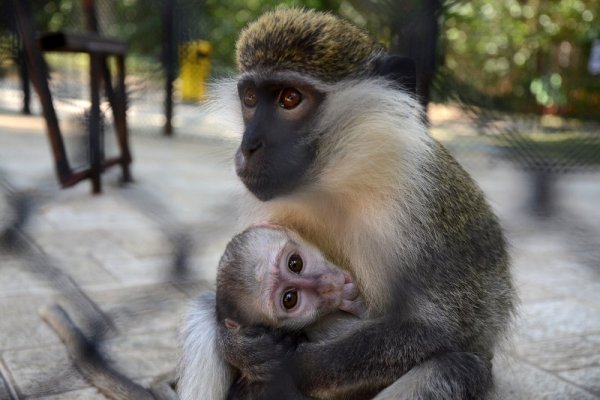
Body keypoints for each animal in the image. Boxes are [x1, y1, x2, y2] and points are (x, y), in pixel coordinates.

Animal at [178, 7, 516, 400]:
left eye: (289, 98)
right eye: (250, 98)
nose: (249, 146)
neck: (337, 181)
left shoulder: (418, 206)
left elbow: (436, 327)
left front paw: (295, 366)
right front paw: (240, 347)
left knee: (453, 366)